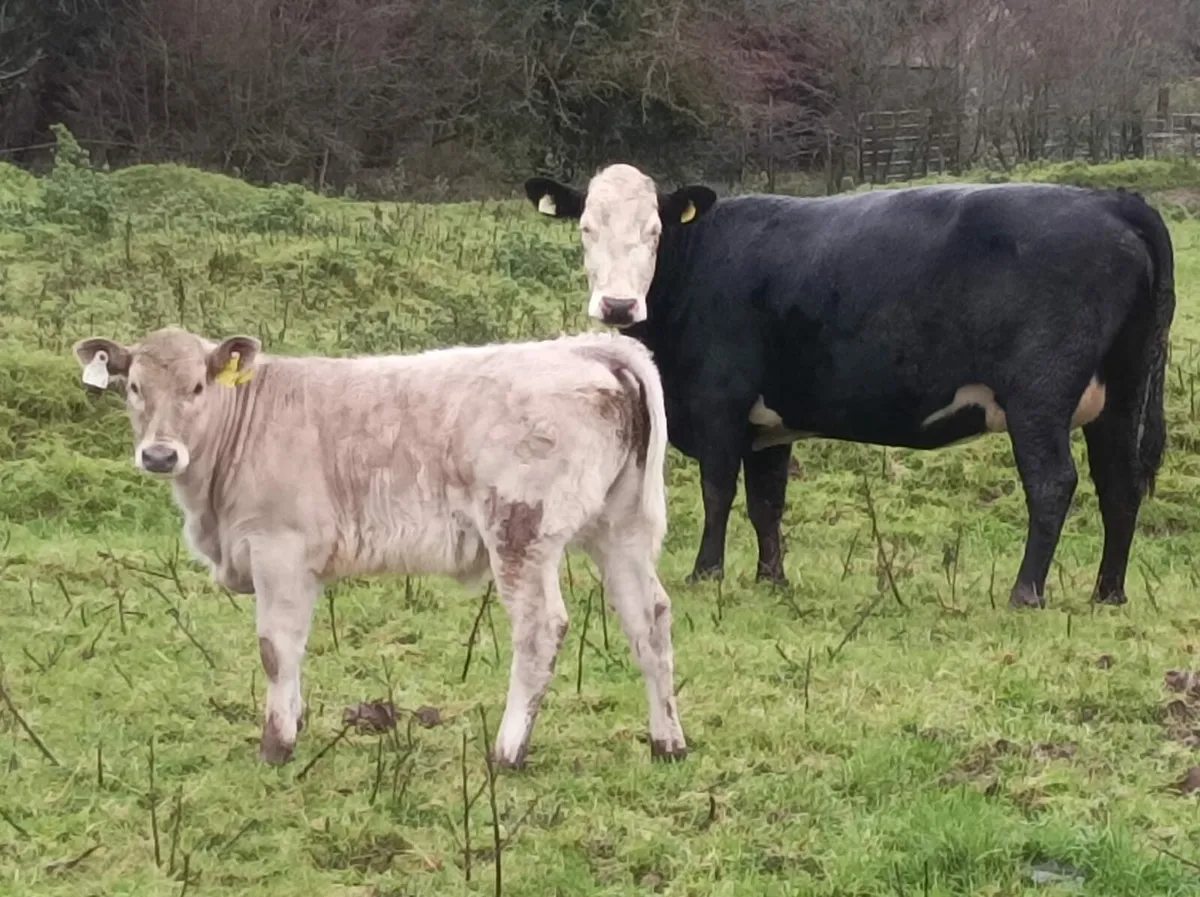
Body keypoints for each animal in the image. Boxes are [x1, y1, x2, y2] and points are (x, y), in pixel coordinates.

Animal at [72, 326, 687, 767]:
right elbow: (297, 647)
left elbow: (275, 648)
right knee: (649, 619)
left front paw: (277, 745)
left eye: (197, 387)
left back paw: (508, 751)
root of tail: (591, 348)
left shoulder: (279, 550)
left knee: (540, 630)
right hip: (620, 529)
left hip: (521, 532)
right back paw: (668, 742)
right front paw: (295, 721)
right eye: (134, 388)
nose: (159, 455)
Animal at [524, 163, 1176, 609]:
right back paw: (1107, 594)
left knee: (1053, 483)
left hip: (1039, 395)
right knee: (1120, 487)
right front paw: (771, 578)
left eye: (655, 231)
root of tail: (1113, 202)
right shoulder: (768, 422)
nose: (617, 304)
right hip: (1121, 396)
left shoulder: (719, 404)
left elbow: (717, 491)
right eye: (586, 228)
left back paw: (1025, 592)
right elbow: (766, 501)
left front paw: (707, 573)